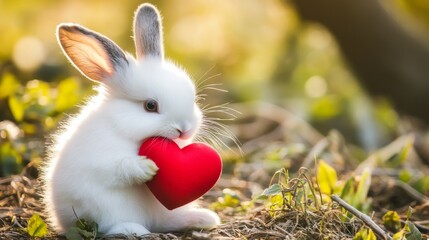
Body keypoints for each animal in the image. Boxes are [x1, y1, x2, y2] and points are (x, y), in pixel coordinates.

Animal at [41, 3, 219, 236]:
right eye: (150, 106)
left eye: (193, 98)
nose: (185, 129)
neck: (127, 132)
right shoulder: (99, 160)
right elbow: (118, 167)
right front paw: (148, 168)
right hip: (106, 208)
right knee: (111, 225)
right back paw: (134, 230)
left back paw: (203, 218)